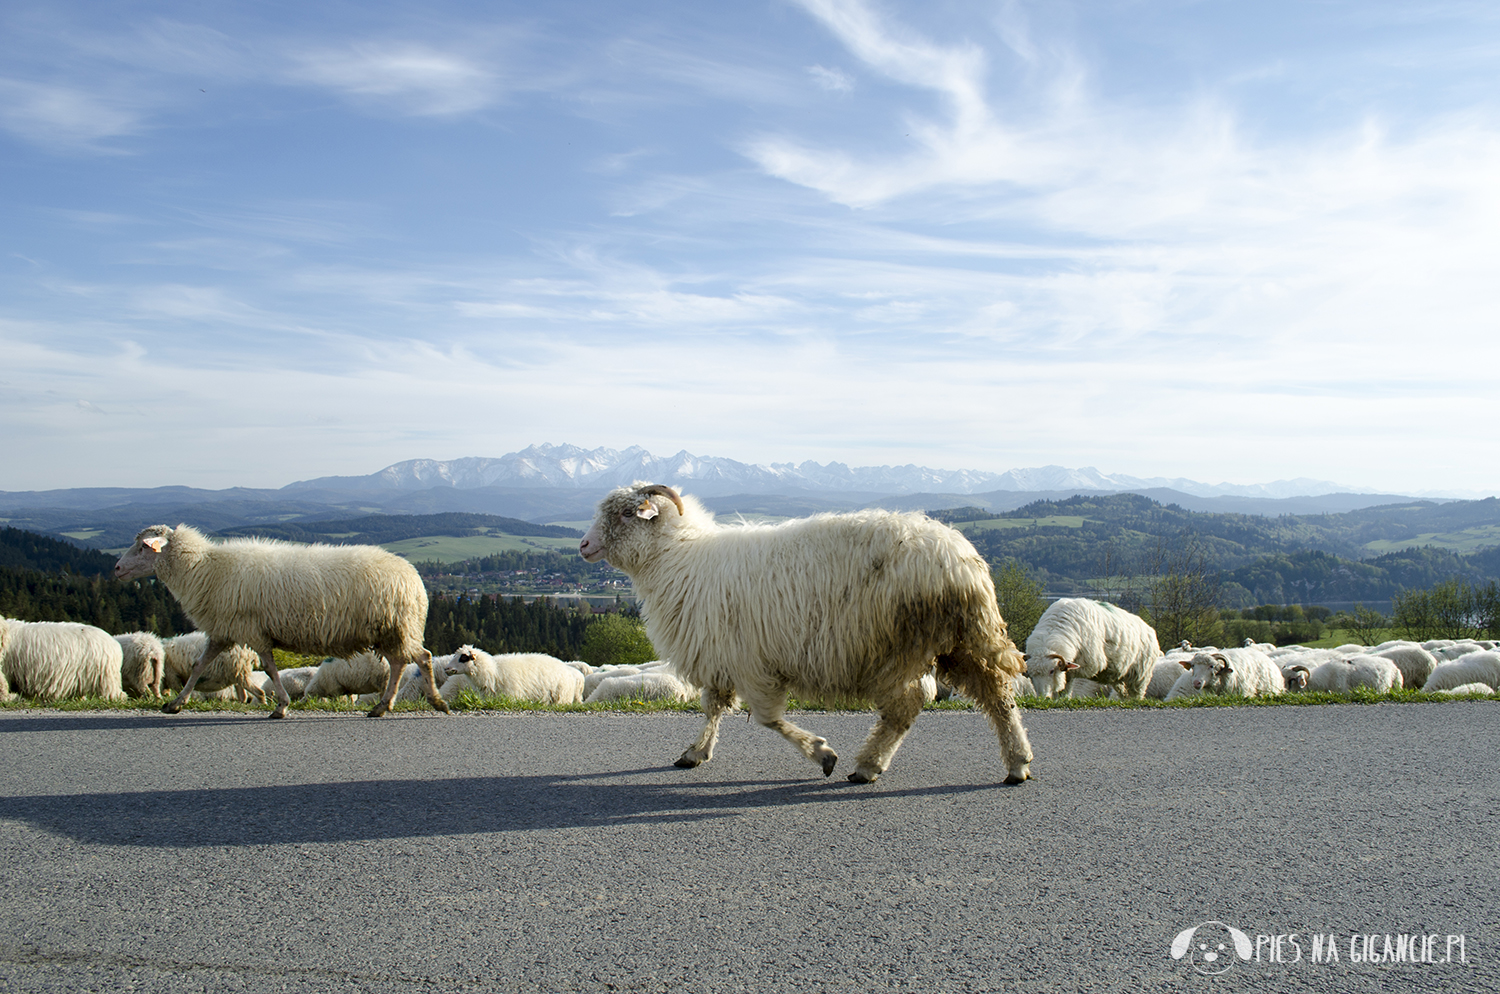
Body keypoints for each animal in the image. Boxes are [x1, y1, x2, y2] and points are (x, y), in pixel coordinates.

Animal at [114, 524, 447, 719]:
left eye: (144, 546)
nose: (116, 569)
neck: (203, 569)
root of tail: (412, 575)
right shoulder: (224, 631)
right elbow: (198, 666)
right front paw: (175, 704)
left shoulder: (252, 630)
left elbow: (270, 668)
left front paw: (281, 706)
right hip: (389, 631)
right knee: (399, 663)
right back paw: (382, 706)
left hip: (398, 626)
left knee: (422, 657)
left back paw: (436, 702)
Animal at [438, 644, 582, 707]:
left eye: (463, 657)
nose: (447, 669)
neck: (493, 672)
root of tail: (567, 669)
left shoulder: (512, 696)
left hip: (562, 698)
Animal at [573, 482, 1032, 785]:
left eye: (625, 513)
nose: (583, 546)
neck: (676, 557)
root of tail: (961, 556)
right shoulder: (722, 656)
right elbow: (714, 708)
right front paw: (696, 752)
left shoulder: (749, 660)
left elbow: (767, 718)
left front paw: (822, 754)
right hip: (957, 640)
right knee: (996, 693)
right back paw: (1016, 762)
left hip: (901, 643)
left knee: (909, 704)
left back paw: (868, 765)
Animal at [1020, 599, 1158, 698]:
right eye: (1030, 675)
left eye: (1051, 671)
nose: (1043, 697)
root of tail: (1149, 629)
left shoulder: (1091, 665)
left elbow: (1067, 681)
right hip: (1119, 677)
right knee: (1123, 691)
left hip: (1140, 673)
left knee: (1137, 692)